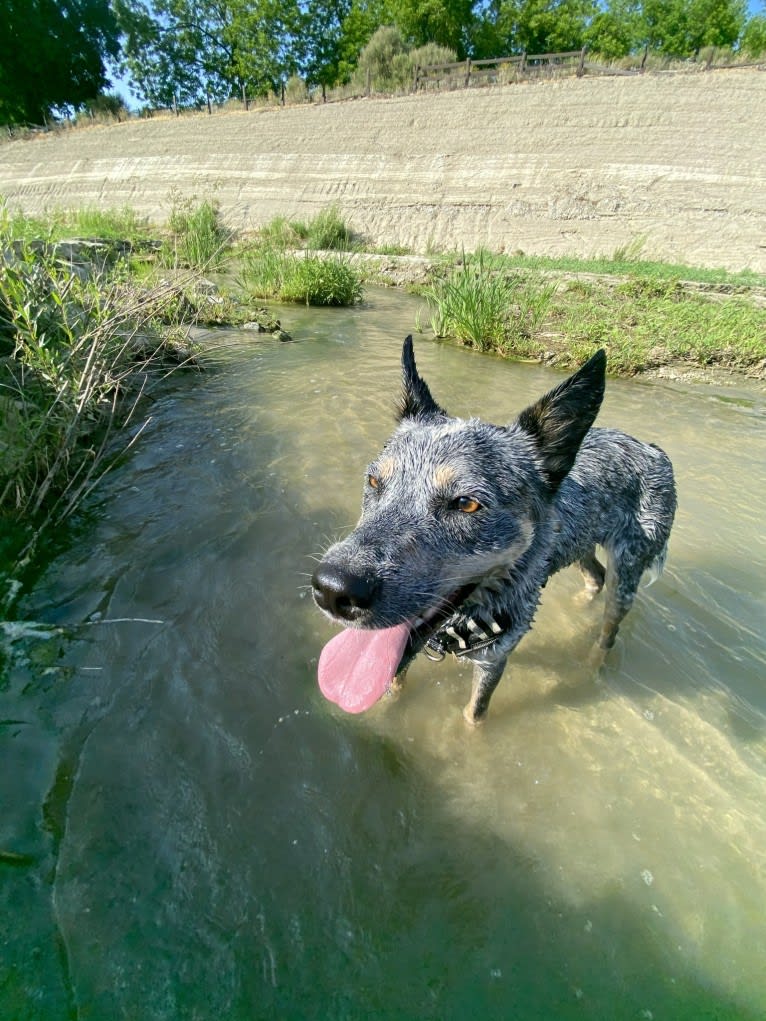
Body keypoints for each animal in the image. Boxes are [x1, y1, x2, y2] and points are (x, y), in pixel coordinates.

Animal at [312, 338, 678, 722]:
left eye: (466, 503)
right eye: (373, 481)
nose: (333, 589)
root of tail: (653, 449)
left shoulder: (494, 659)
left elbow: (474, 715)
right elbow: (393, 686)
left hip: (628, 571)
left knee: (610, 625)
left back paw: (594, 662)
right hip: (581, 543)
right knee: (596, 574)